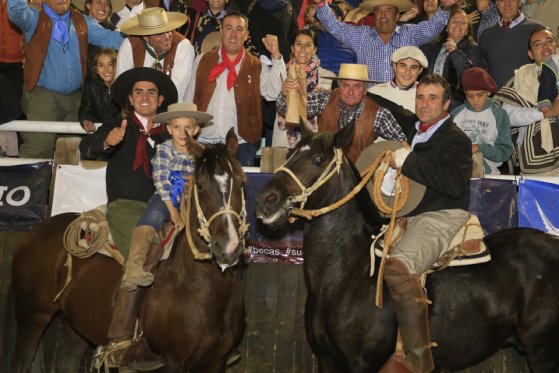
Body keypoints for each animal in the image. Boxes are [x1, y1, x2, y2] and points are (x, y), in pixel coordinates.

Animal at [10, 134, 247, 372]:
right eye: (200, 185)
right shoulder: (172, 360)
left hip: (74, 327)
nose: (228, 246)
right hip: (33, 317)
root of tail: (35, 232)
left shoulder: (217, 361)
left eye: (241, 181)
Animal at [255, 123, 559, 370]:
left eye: (318, 160)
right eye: (289, 154)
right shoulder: (327, 362)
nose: (265, 199)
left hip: (543, 349)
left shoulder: (361, 365)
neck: (346, 273)